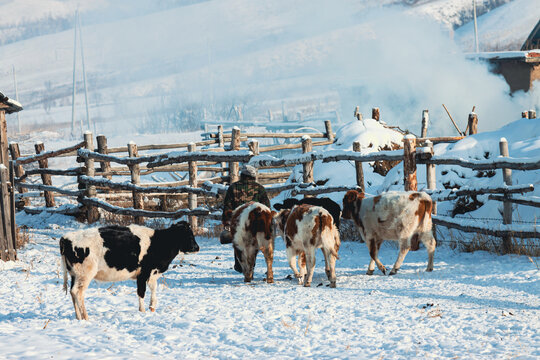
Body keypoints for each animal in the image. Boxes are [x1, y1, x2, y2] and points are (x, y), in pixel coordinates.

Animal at [59, 222, 198, 320]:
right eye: (188, 235)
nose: (197, 247)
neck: (158, 242)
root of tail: (66, 237)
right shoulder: (143, 273)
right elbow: (141, 292)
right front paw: (142, 311)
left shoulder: (152, 273)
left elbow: (153, 288)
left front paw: (152, 307)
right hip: (85, 274)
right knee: (78, 292)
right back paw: (85, 317)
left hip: (74, 275)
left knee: (72, 292)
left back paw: (78, 317)